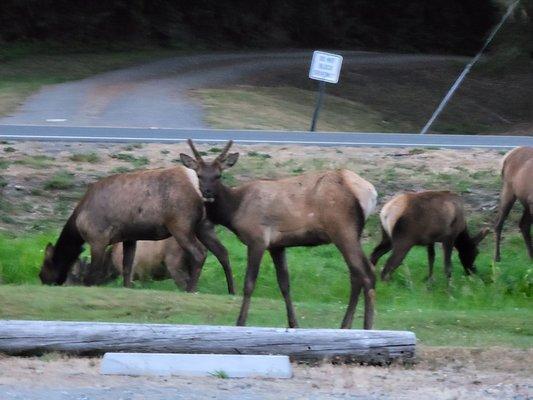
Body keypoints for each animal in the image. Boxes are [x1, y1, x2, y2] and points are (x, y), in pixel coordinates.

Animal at [38, 162, 234, 294]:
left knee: (199, 253)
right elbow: (127, 268)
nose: (42, 280)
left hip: (181, 224)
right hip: (204, 225)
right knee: (223, 252)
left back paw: (191, 290)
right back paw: (231, 290)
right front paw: (127, 288)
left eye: (45, 267)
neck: (77, 226)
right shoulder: (129, 237)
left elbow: (93, 274)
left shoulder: (97, 238)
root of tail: (198, 185)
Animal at [181, 139, 376, 330]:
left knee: (366, 274)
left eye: (218, 175)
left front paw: (240, 322)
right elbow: (284, 284)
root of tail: (371, 192)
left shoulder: (257, 239)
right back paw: (346, 325)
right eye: (199, 175)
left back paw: (367, 326)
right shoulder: (277, 245)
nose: (208, 192)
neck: (234, 211)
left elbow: (249, 283)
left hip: (343, 229)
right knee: (357, 274)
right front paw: (293, 323)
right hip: (352, 233)